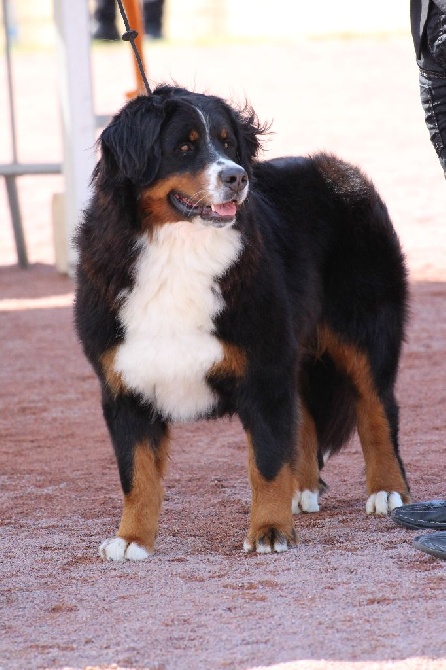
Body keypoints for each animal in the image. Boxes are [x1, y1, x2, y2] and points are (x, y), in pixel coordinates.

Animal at [74, 86, 412, 564]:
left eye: (228, 143)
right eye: (184, 147)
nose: (236, 176)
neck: (177, 254)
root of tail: (339, 168)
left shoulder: (262, 370)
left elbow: (266, 463)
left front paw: (270, 530)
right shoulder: (124, 384)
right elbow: (135, 474)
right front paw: (132, 539)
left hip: (364, 333)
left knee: (377, 411)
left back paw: (387, 491)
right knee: (304, 417)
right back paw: (302, 489)